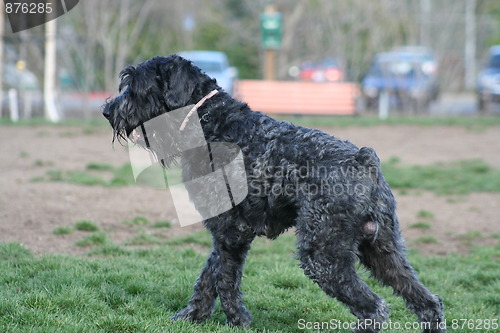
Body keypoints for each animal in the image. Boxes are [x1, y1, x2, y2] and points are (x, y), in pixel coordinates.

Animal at [102, 55, 446, 330]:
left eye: (136, 86)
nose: (108, 111)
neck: (211, 122)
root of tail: (364, 159)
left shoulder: (231, 231)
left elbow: (225, 277)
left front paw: (237, 320)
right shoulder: (226, 231)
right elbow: (210, 274)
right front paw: (192, 316)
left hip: (323, 255)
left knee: (374, 308)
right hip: (383, 250)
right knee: (427, 302)